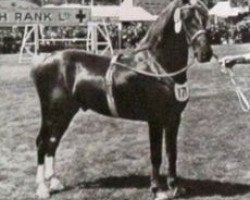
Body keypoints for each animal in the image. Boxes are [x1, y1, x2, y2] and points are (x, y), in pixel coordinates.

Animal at [31, 0, 213, 199]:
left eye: (204, 18)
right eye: (186, 18)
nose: (205, 53)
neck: (158, 67)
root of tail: (46, 60)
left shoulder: (173, 119)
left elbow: (172, 153)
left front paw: (175, 187)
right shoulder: (155, 120)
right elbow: (156, 155)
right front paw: (157, 189)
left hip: (65, 113)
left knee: (53, 142)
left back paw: (55, 182)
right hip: (52, 112)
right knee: (42, 142)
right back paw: (42, 188)